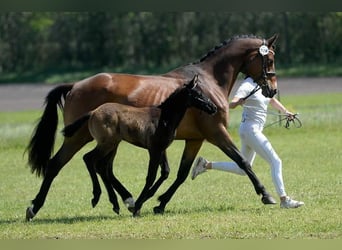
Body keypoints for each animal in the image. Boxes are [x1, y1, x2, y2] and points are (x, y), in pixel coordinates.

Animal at [61, 74, 216, 217]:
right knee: (89, 159)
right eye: (198, 94)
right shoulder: (154, 150)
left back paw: (115, 204)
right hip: (107, 143)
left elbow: (165, 172)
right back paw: (96, 197)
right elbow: (151, 176)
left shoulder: (161, 149)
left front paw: (149, 201)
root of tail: (93, 112)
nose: (213, 108)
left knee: (100, 165)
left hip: (111, 144)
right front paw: (137, 207)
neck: (163, 118)